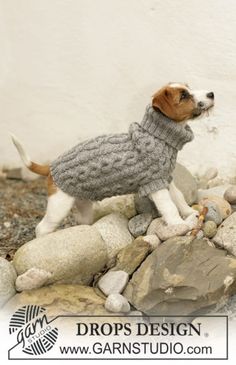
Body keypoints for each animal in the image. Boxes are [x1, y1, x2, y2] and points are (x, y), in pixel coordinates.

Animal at [11, 82, 214, 236]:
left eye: (188, 88)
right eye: (184, 96)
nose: (211, 93)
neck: (157, 136)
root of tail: (51, 166)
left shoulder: (165, 179)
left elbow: (178, 197)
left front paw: (190, 212)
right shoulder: (155, 184)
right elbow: (169, 207)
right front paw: (180, 224)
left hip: (83, 206)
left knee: (80, 221)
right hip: (58, 206)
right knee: (41, 228)